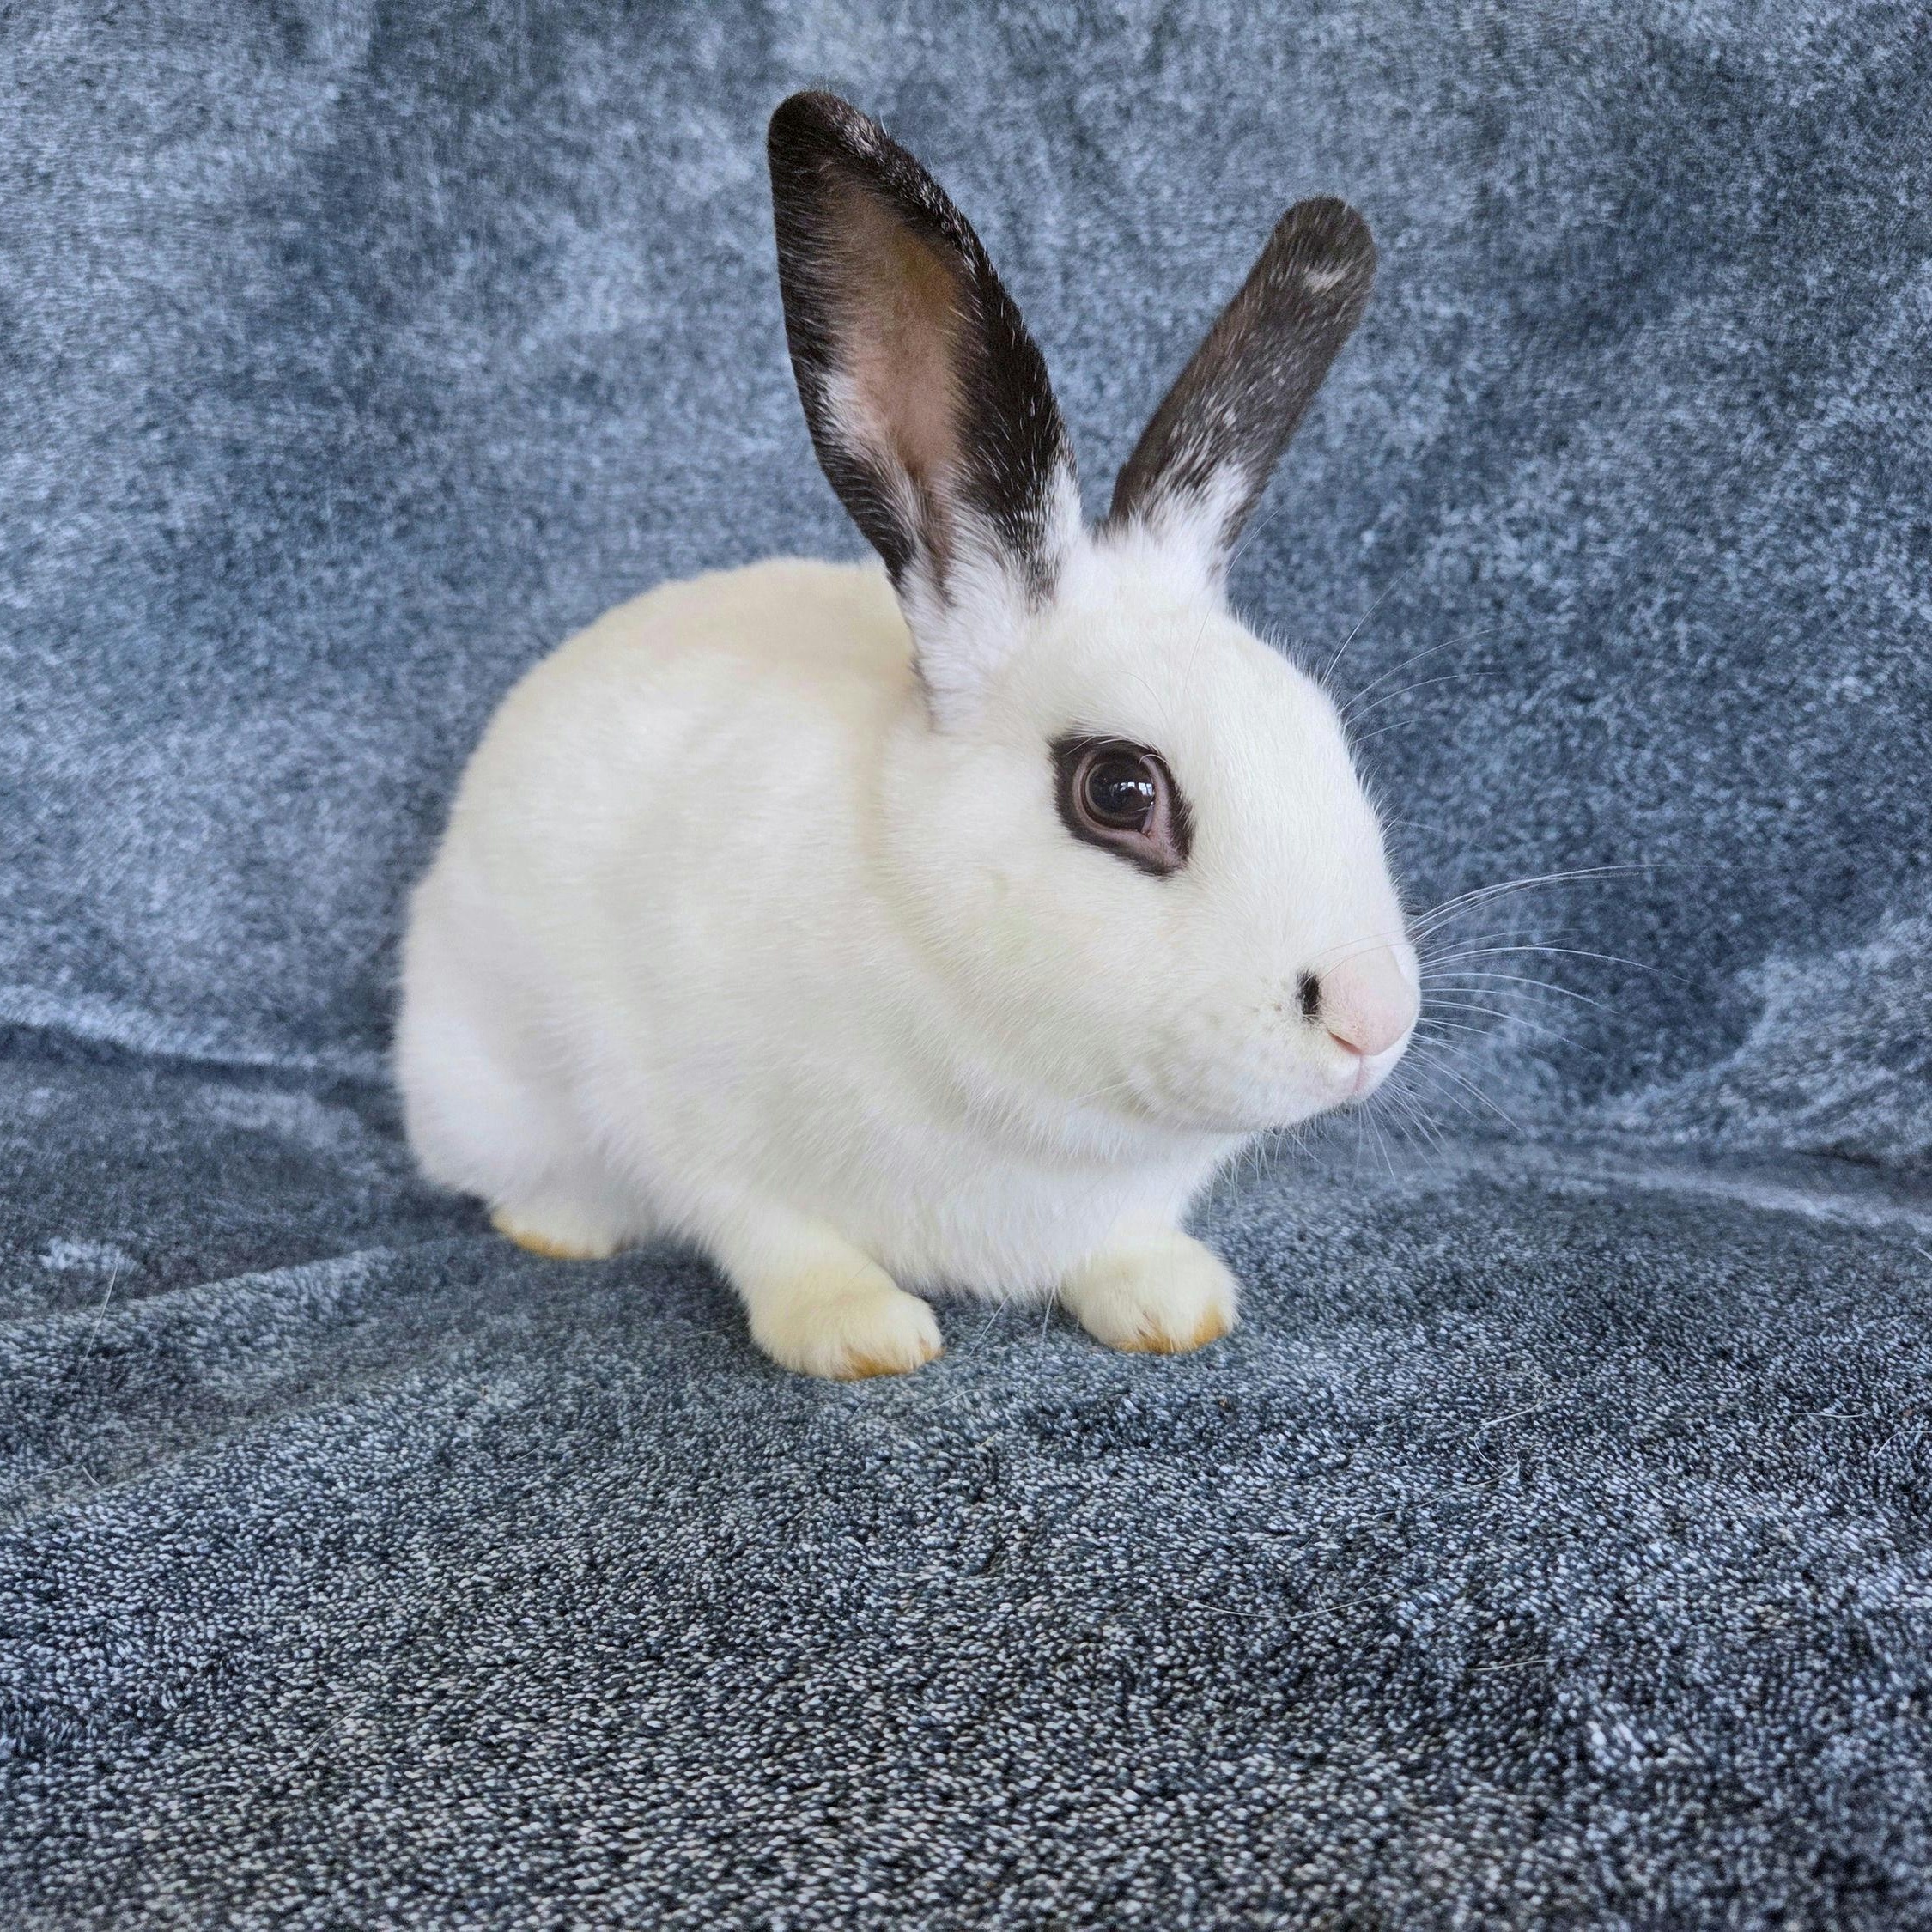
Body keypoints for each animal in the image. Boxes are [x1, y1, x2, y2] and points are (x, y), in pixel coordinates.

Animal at [396, 90, 1419, 1379]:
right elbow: (769, 1233)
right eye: (1120, 791)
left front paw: (1174, 1305)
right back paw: (560, 1227)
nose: (1375, 1020)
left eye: (1321, 733)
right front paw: (861, 1333)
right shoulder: (688, 1122)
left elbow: (1124, 1245)